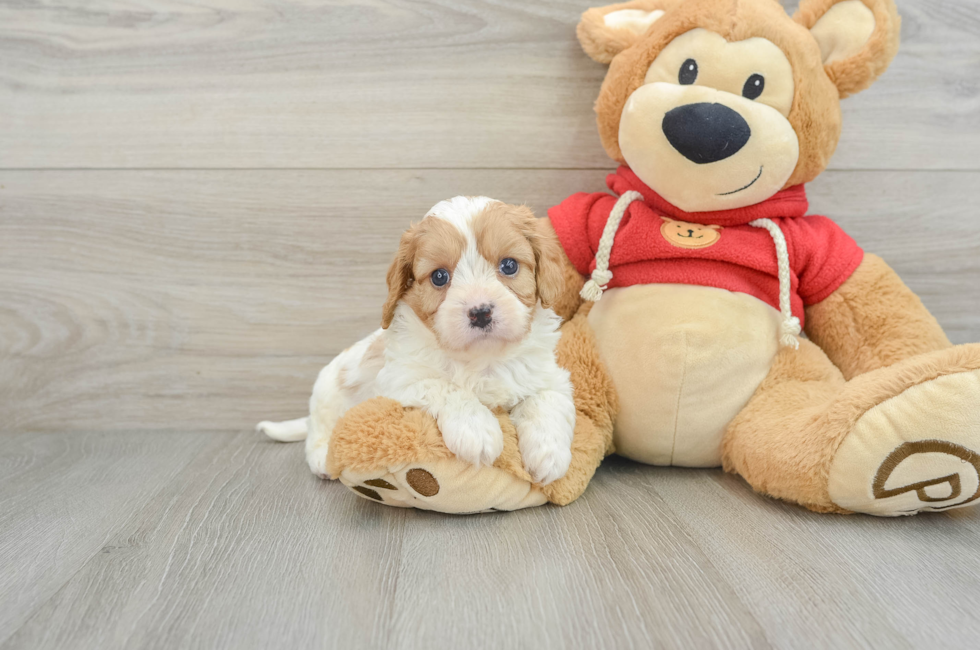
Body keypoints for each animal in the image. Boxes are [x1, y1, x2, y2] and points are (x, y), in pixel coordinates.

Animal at [256, 195, 580, 484]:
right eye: (439, 276)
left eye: (509, 266)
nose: (480, 312)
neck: (482, 358)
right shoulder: (400, 379)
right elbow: (444, 386)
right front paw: (477, 429)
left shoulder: (549, 376)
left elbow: (548, 399)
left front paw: (549, 455)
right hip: (326, 395)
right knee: (318, 433)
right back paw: (323, 458)